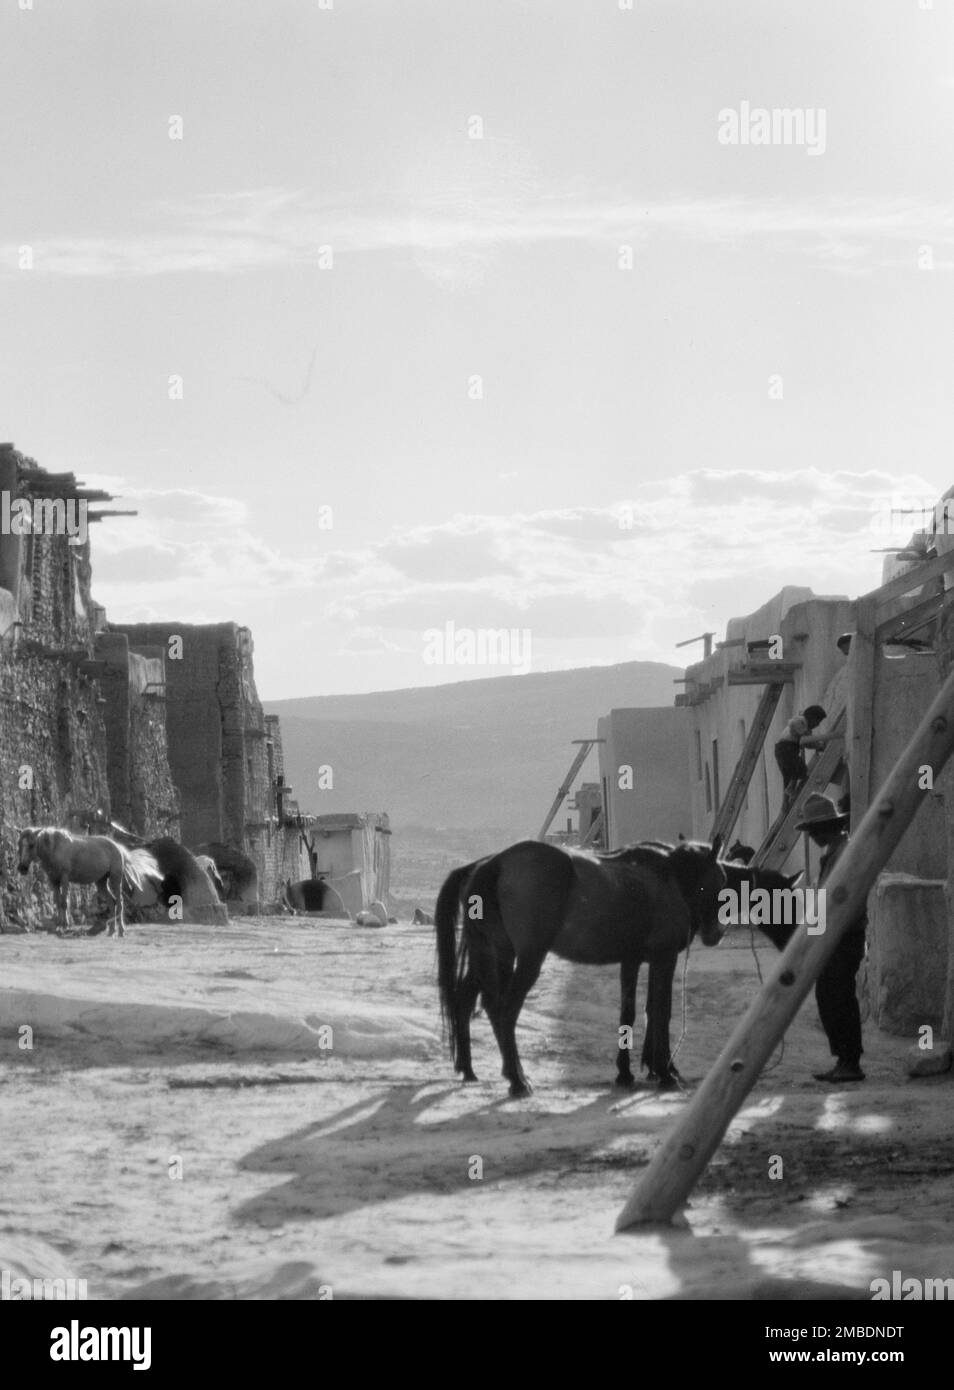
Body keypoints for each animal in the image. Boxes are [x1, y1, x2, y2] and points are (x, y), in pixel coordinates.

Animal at [18, 828, 164, 939]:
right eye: (20, 845)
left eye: (31, 844)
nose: (22, 868)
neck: (55, 848)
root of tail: (118, 848)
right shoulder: (53, 881)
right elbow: (58, 902)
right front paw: (58, 926)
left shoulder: (64, 879)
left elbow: (64, 902)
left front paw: (65, 926)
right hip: (101, 882)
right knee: (112, 902)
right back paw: (111, 931)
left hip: (115, 879)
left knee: (120, 902)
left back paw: (121, 931)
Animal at [436, 834, 728, 1095]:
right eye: (719, 882)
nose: (716, 933)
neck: (669, 878)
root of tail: (495, 863)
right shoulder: (664, 958)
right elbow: (660, 1013)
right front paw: (666, 1073)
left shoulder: (632, 959)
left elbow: (631, 1013)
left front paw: (627, 1073)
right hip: (527, 959)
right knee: (504, 1010)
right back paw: (517, 1080)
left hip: (494, 955)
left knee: (468, 1001)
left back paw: (470, 1069)